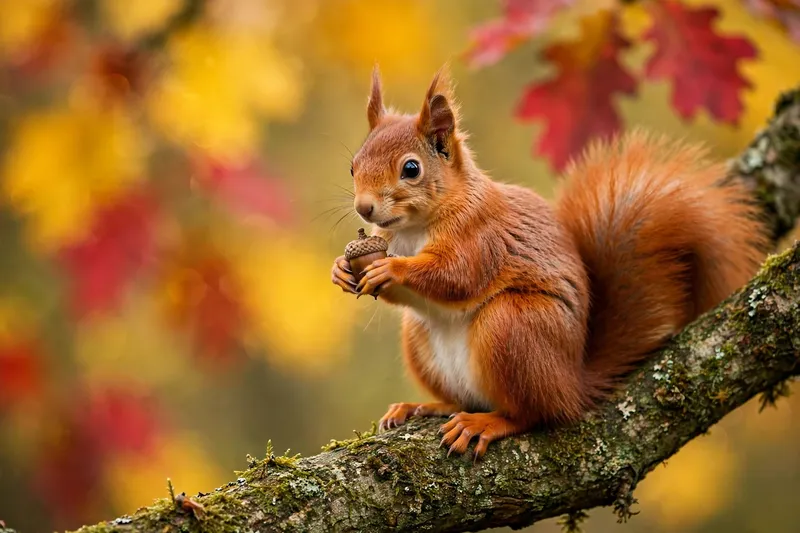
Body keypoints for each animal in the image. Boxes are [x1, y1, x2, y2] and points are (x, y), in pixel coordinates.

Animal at [330, 66, 768, 460]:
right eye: (352, 166)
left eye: (411, 169)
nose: (364, 208)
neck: (414, 228)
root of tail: (572, 384)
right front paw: (341, 270)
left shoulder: (483, 238)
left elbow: (457, 276)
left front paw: (392, 269)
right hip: (422, 339)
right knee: (465, 398)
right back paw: (424, 406)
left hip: (513, 327)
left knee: (534, 414)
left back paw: (486, 423)